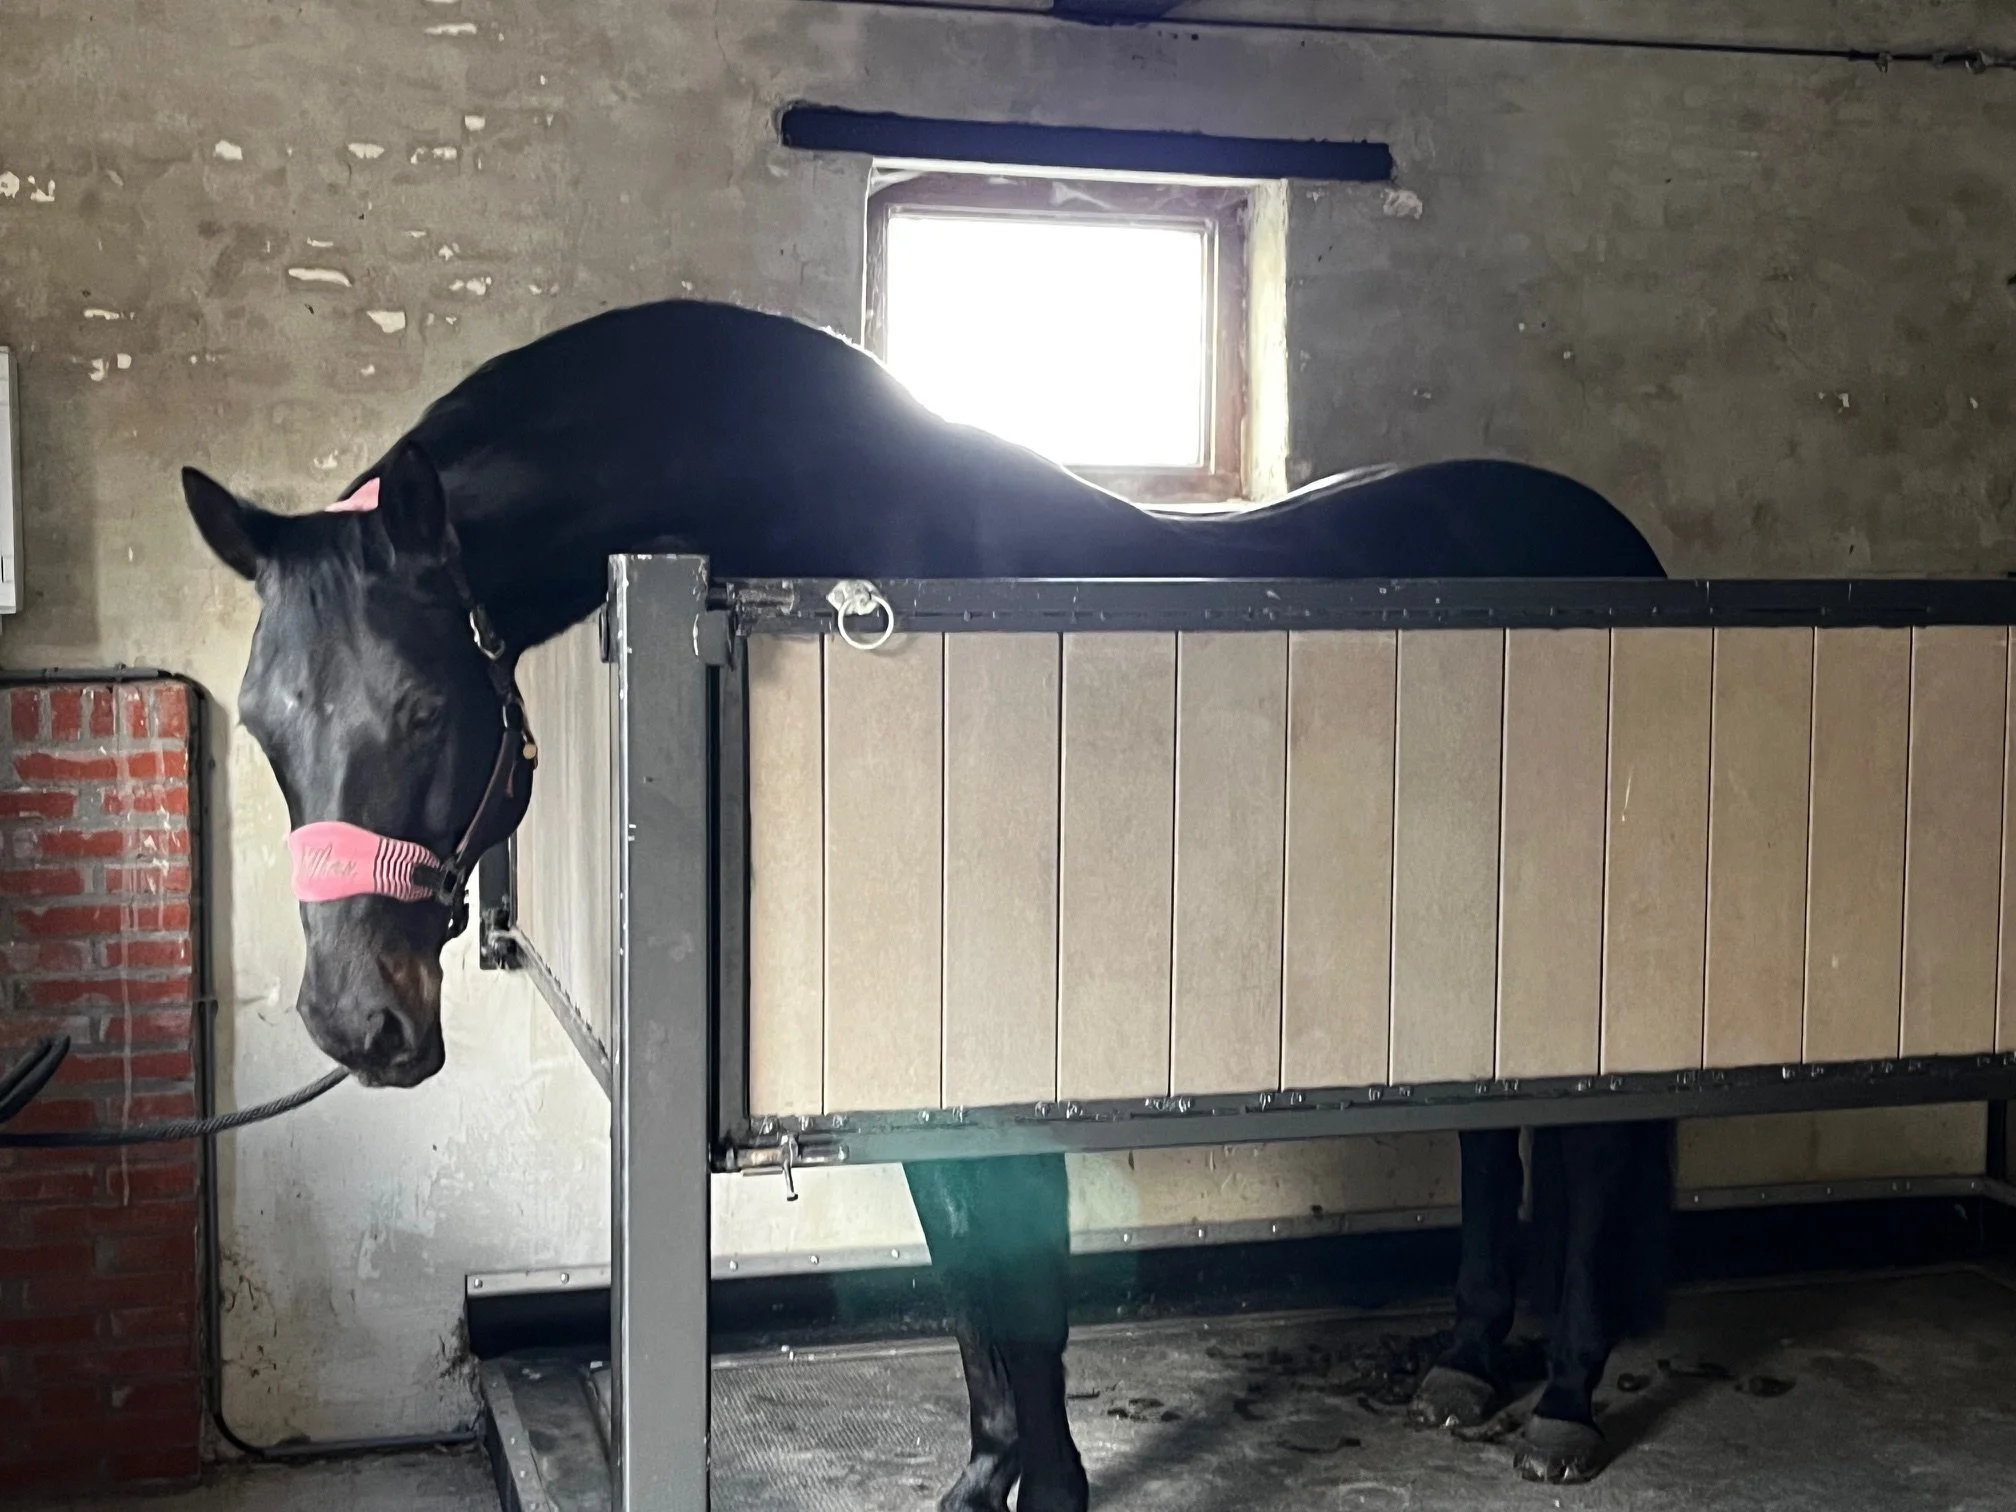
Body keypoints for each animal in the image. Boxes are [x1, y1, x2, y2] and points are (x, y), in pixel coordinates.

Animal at [182, 297, 1674, 1498]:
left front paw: (1047, 1489)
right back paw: (1468, 1365)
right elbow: (971, 1296)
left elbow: (1026, 1297)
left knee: (1593, 1153)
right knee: (1497, 1137)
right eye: (260, 724)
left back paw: (1560, 1403)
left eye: (425, 708)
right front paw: (992, 1478)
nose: (354, 1023)